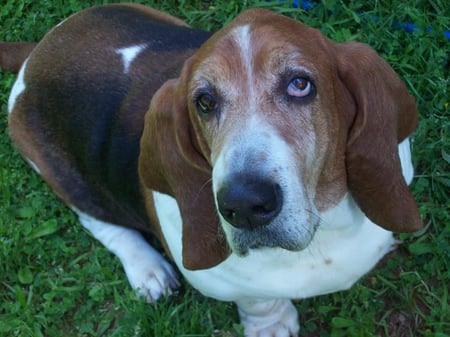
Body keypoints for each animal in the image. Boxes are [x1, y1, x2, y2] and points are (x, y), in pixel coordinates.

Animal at [1, 3, 422, 336]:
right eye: (204, 102)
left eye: (300, 84)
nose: (244, 205)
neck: (320, 237)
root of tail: (34, 56)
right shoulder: (231, 285)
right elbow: (257, 301)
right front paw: (271, 326)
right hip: (59, 172)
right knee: (101, 223)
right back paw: (147, 268)